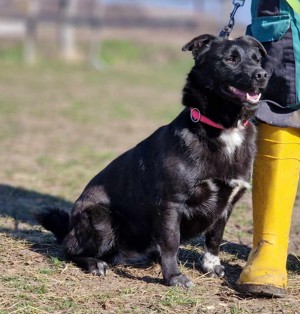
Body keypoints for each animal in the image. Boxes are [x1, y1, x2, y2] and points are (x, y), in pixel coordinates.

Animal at [36, 33, 268, 288]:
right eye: (230, 59)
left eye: (257, 59)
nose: (262, 75)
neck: (223, 128)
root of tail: (69, 227)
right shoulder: (171, 203)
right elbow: (171, 242)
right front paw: (174, 276)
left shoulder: (227, 204)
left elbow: (215, 237)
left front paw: (211, 265)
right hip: (101, 219)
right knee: (69, 249)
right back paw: (95, 263)